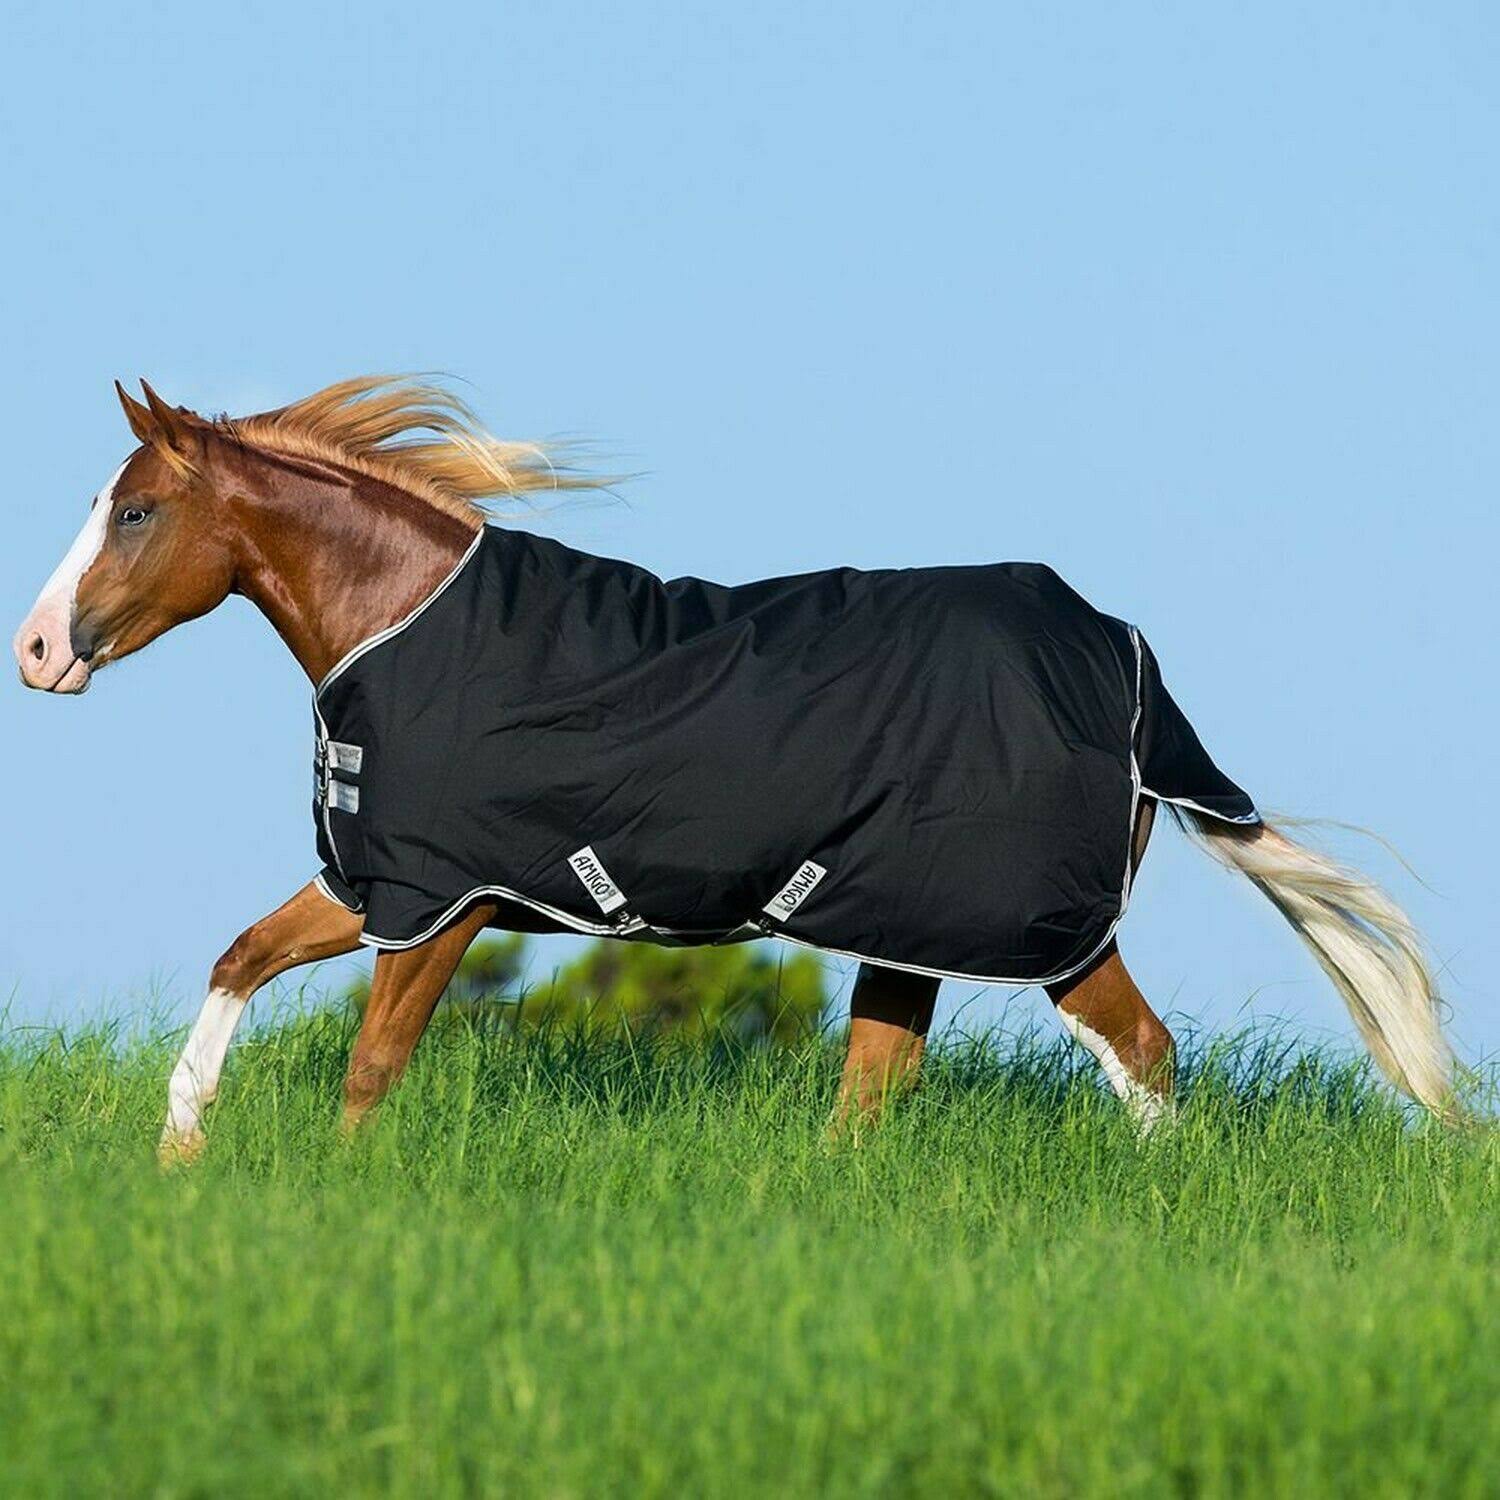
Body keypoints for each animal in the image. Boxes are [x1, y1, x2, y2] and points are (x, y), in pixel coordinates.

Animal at [13, 377, 1457, 1161]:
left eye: (135, 509)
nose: (34, 651)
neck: (408, 625)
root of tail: (1121, 653)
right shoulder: (380, 885)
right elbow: (238, 960)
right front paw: (181, 1156)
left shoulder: (445, 899)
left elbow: (373, 1064)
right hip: (903, 922)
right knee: (874, 1091)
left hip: (1035, 925)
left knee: (1143, 1054)